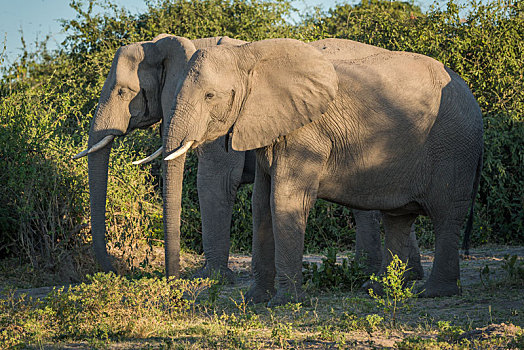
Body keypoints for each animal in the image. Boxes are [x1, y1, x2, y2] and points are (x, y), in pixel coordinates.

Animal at [163, 37, 484, 302]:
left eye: (209, 96)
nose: (175, 284)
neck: (250, 55)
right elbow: (261, 204)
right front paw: (255, 300)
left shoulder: (306, 133)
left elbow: (284, 200)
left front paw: (285, 302)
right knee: (398, 218)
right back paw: (380, 290)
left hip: (455, 147)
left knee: (446, 215)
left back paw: (434, 293)